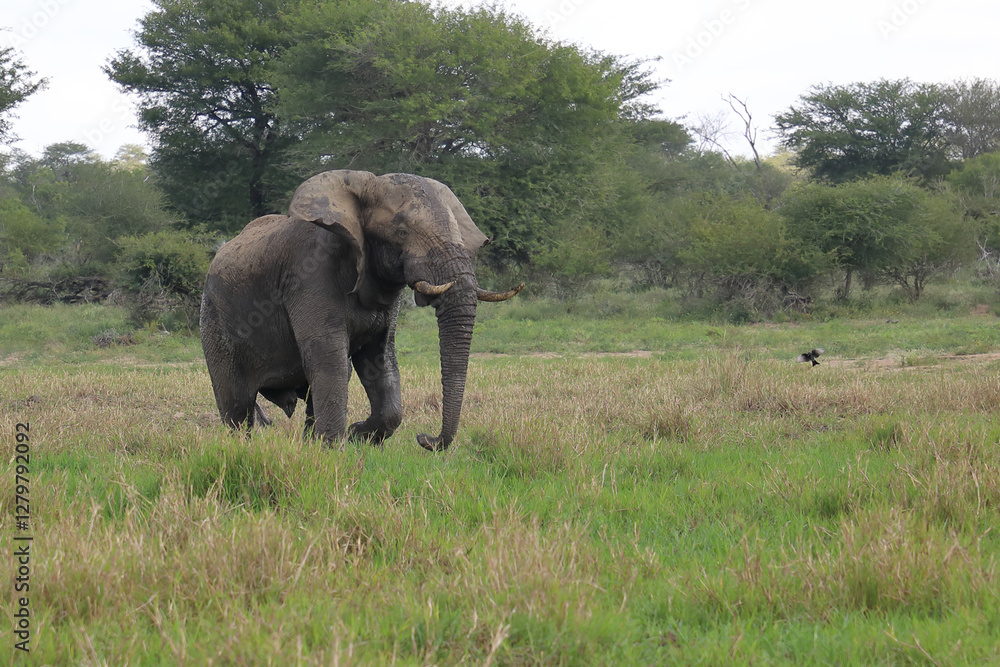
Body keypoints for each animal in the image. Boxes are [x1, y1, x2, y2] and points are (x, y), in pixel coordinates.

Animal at [199, 170, 523, 451]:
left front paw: (355, 436)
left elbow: (378, 359)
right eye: (401, 232)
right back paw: (242, 448)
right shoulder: (309, 275)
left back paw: (308, 445)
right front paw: (334, 452)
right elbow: (329, 359)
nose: (424, 439)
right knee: (237, 405)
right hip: (214, 321)